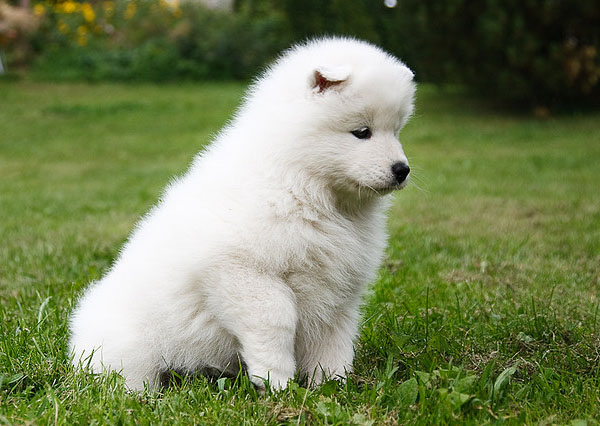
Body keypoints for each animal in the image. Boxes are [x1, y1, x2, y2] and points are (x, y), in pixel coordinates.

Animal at [70, 38, 414, 392]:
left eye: (397, 130)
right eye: (362, 131)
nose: (402, 170)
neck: (300, 184)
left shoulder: (338, 286)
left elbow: (334, 337)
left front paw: (332, 383)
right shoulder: (242, 271)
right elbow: (276, 319)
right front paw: (276, 380)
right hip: (128, 347)